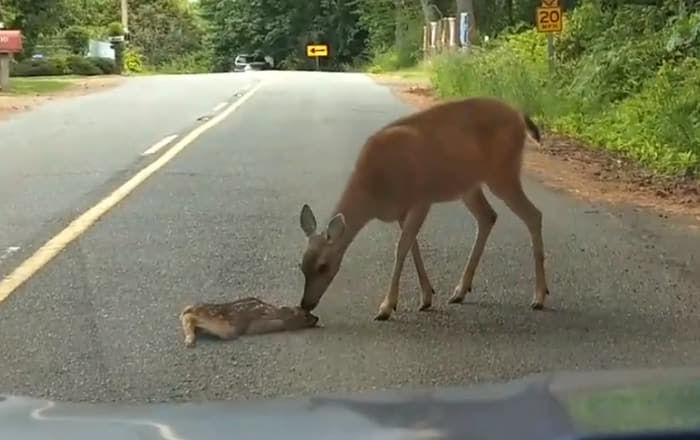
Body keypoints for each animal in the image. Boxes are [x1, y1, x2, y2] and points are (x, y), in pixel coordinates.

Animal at [298, 98, 548, 322]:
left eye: (323, 266)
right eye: (301, 265)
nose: (305, 305)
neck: (373, 192)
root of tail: (518, 115)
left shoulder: (421, 200)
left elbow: (401, 248)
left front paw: (386, 307)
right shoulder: (402, 210)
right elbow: (412, 246)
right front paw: (426, 297)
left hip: (502, 172)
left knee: (533, 215)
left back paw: (539, 297)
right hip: (469, 185)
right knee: (488, 216)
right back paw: (460, 291)